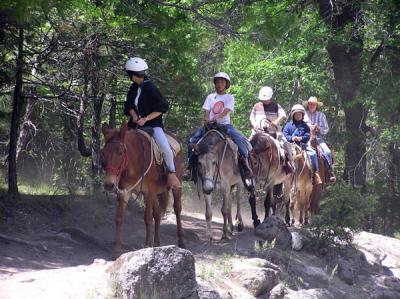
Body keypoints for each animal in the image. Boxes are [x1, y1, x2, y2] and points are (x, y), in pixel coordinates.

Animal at [101, 122, 186, 251]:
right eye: (104, 153)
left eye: (120, 152)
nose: (109, 185)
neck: (135, 160)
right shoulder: (125, 191)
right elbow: (119, 217)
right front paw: (117, 247)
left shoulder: (149, 190)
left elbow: (147, 218)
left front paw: (147, 245)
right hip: (155, 193)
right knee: (158, 214)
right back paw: (157, 243)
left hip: (175, 186)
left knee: (177, 209)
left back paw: (181, 241)